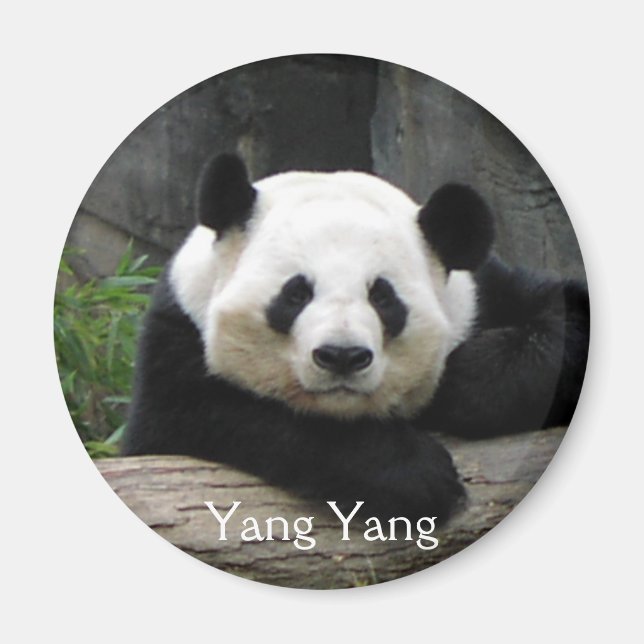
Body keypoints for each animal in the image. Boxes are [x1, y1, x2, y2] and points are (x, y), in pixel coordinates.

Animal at [122, 153, 589, 524]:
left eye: (382, 296)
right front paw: (414, 475)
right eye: (296, 294)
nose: (341, 356)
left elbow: (565, 316)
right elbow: (209, 418)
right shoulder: (178, 330)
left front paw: (463, 385)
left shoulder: (482, 294)